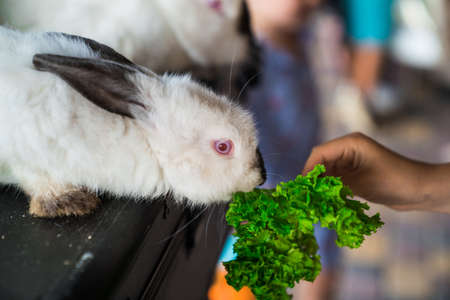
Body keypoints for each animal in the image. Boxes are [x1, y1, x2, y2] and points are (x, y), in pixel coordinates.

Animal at [0, 26, 266, 218]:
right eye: (223, 146)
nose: (261, 177)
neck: (143, 138)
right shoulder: (27, 153)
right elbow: (38, 179)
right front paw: (69, 202)